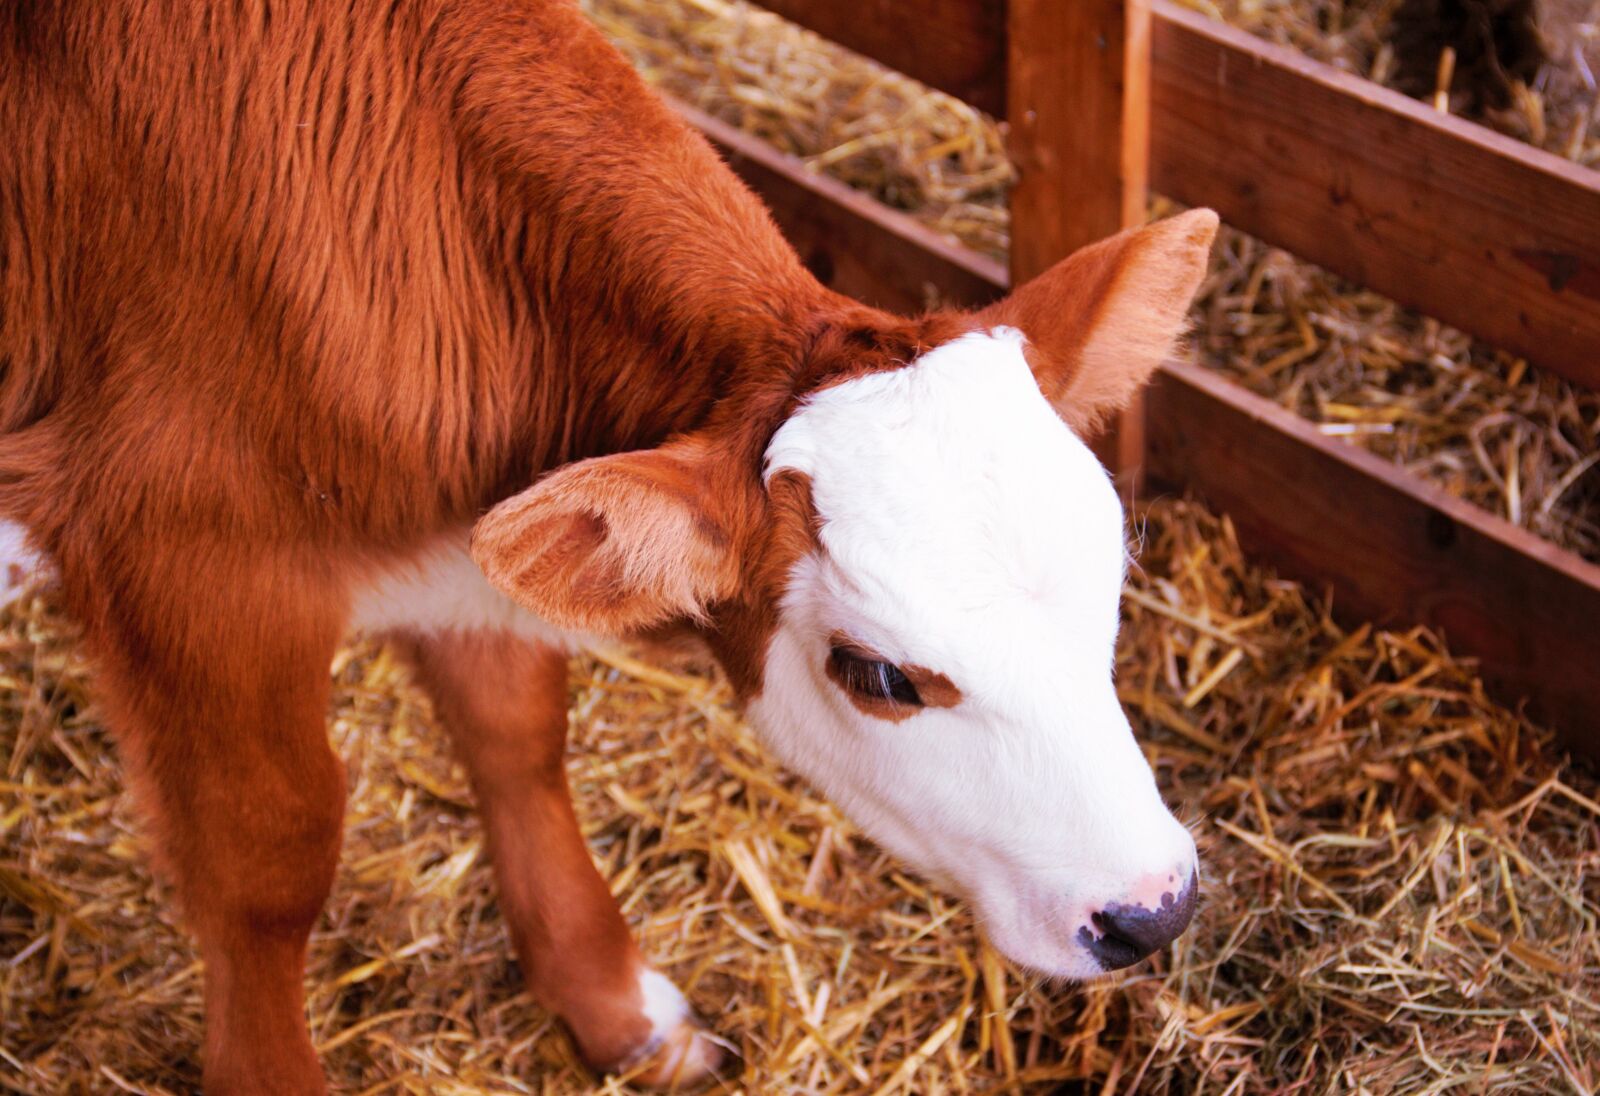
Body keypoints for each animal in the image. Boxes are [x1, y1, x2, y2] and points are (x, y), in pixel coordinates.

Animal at [0, 0, 1217, 1089]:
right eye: (878, 675)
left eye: (1112, 585)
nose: (1154, 911)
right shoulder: (186, 553)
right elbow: (269, 859)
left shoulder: (468, 537)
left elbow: (518, 738)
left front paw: (615, 1005)